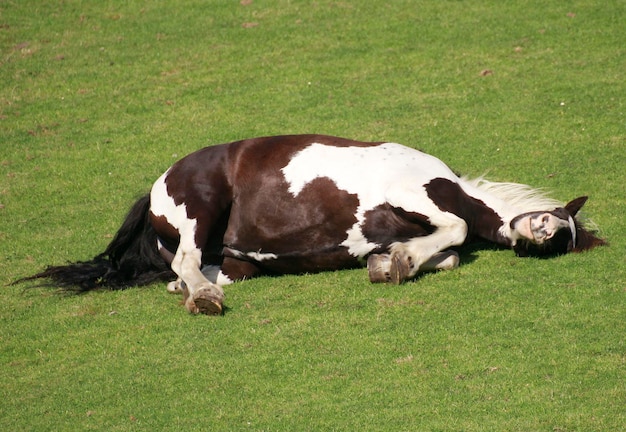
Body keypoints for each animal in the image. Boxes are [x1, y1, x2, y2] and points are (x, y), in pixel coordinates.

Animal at [15, 135, 604, 314]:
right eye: (553, 220)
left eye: (563, 239)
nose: (542, 234)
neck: (451, 185)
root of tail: (159, 185)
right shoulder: (412, 195)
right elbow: (456, 234)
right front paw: (399, 264)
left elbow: (450, 253)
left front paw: (387, 263)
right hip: (201, 206)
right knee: (185, 260)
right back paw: (204, 300)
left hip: (235, 264)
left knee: (184, 274)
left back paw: (195, 290)